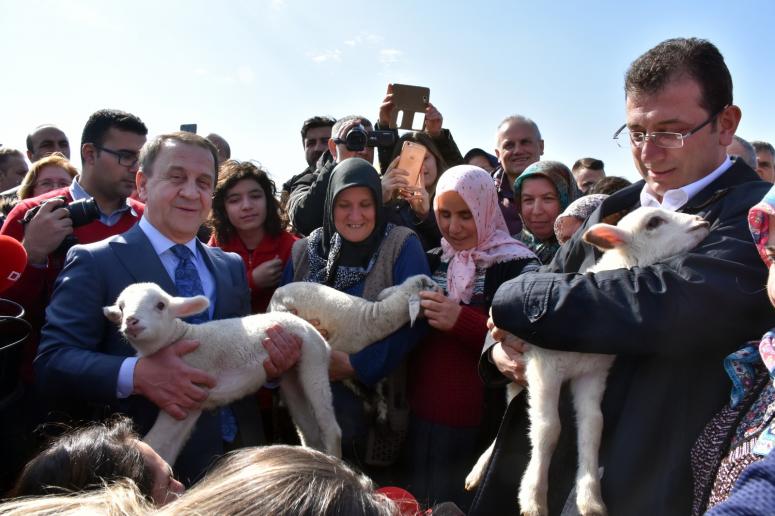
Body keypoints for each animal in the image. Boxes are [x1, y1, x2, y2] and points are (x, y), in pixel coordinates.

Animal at [104, 284, 342, 466]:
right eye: (121, 308)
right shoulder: (189, 403)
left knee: (331, 428)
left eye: (161, 305)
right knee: (309, 431)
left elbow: (155, 443)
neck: (180, 337)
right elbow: (164, 450)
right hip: (291, 373)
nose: (131, 321)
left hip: (314, 360)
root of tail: (315, 331)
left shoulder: (185, 392)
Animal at [464, 208, 712, 512]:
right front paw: (534, 498)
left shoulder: (593, 373)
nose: (702, 222)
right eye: (654, 222)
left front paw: (590, 498)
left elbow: (593, 426)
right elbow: (548, 429)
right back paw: (479, 470)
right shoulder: (544, 367)